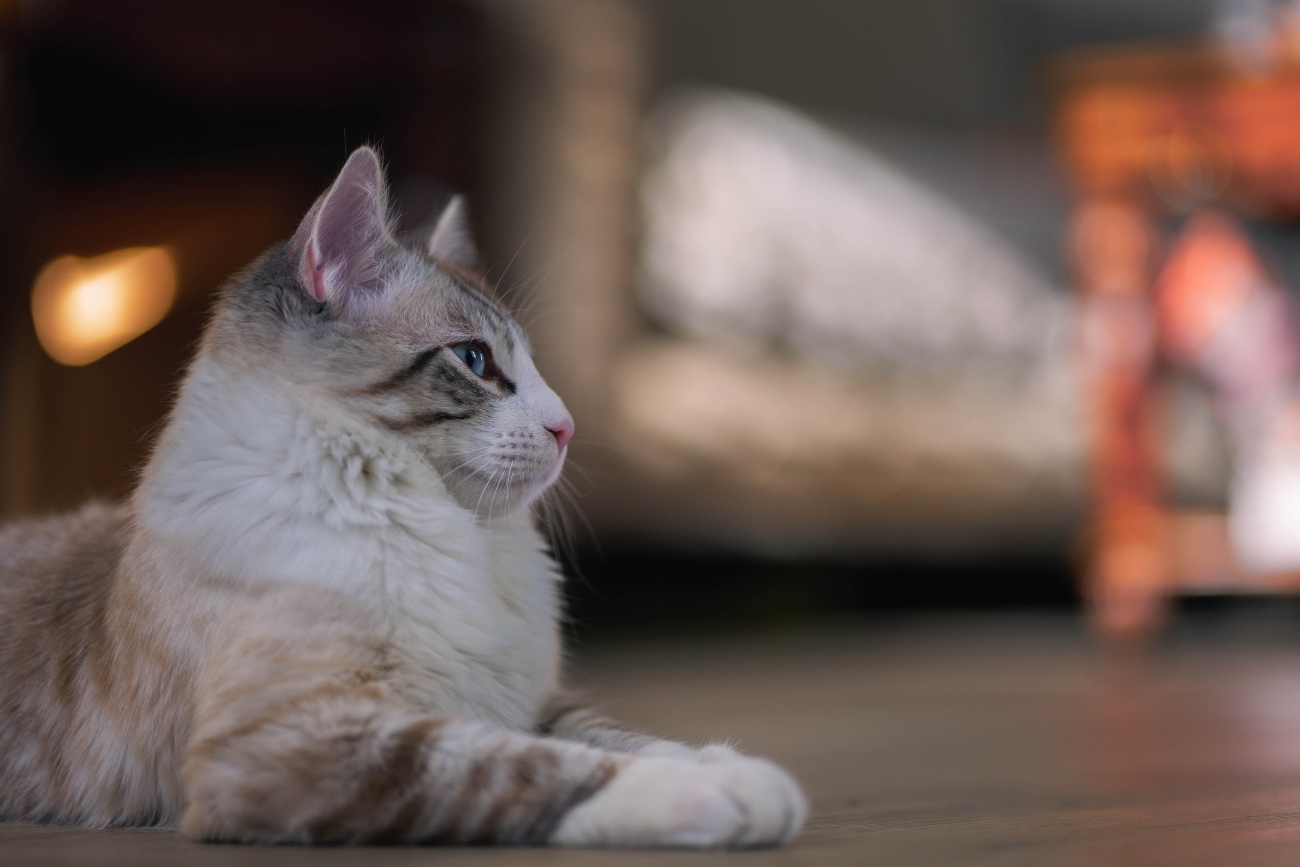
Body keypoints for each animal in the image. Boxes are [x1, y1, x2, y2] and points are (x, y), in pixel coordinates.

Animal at [0, 147, 806, 847]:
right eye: (476, 361)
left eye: (535, 366)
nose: (567, 426)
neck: (455, 530)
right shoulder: (298, 738)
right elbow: (528, 767)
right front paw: (714, 794)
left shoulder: (524, 701)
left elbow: (620, 737)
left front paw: (739, 772)